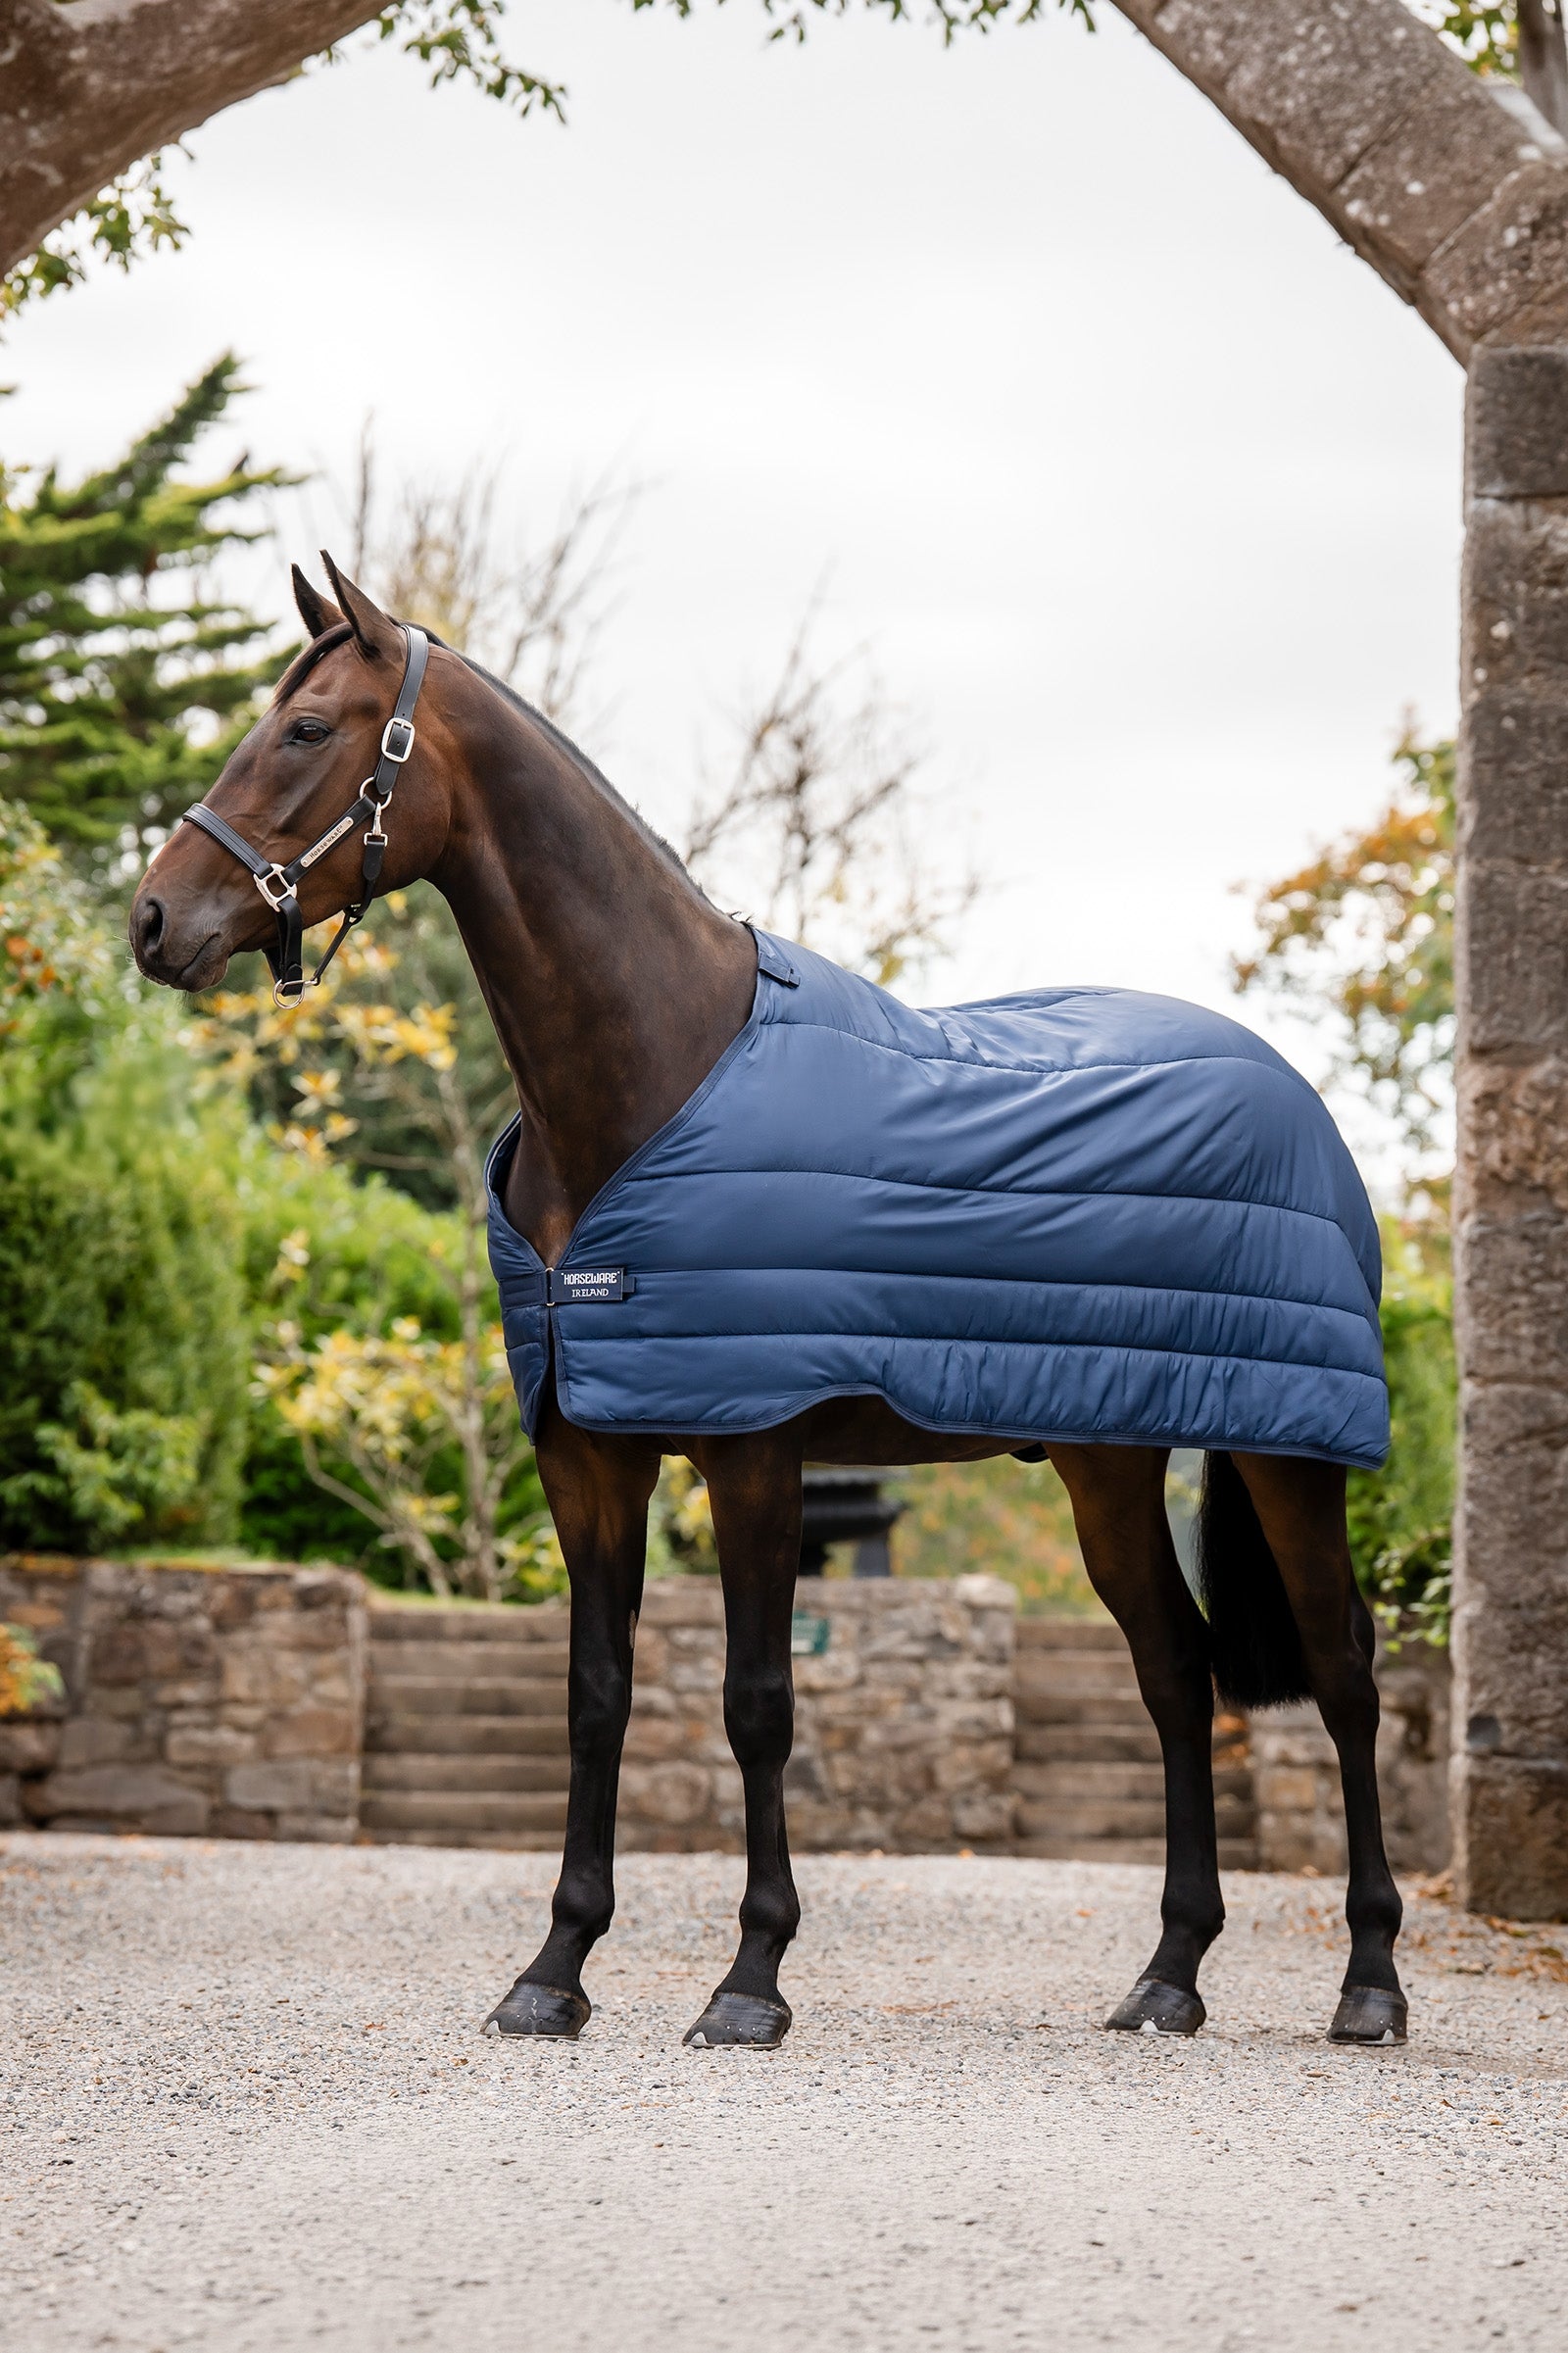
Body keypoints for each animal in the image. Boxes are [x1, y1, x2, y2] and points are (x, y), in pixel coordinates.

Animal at [129, 556, 1406, 2054]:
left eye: (308, 731)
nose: (154, 921)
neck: (655, 1070)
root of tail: (1291, 1091)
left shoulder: (753, 1451)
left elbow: (756, 1704)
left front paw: (749, 1979)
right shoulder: (590, 1456)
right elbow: (598, 1697)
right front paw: (553, 1972)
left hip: (1287, 1452)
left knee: (1343, 1669)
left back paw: (1370, 1983)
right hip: (1107, 1460)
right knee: (1177, 1675)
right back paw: (1168, 1976)